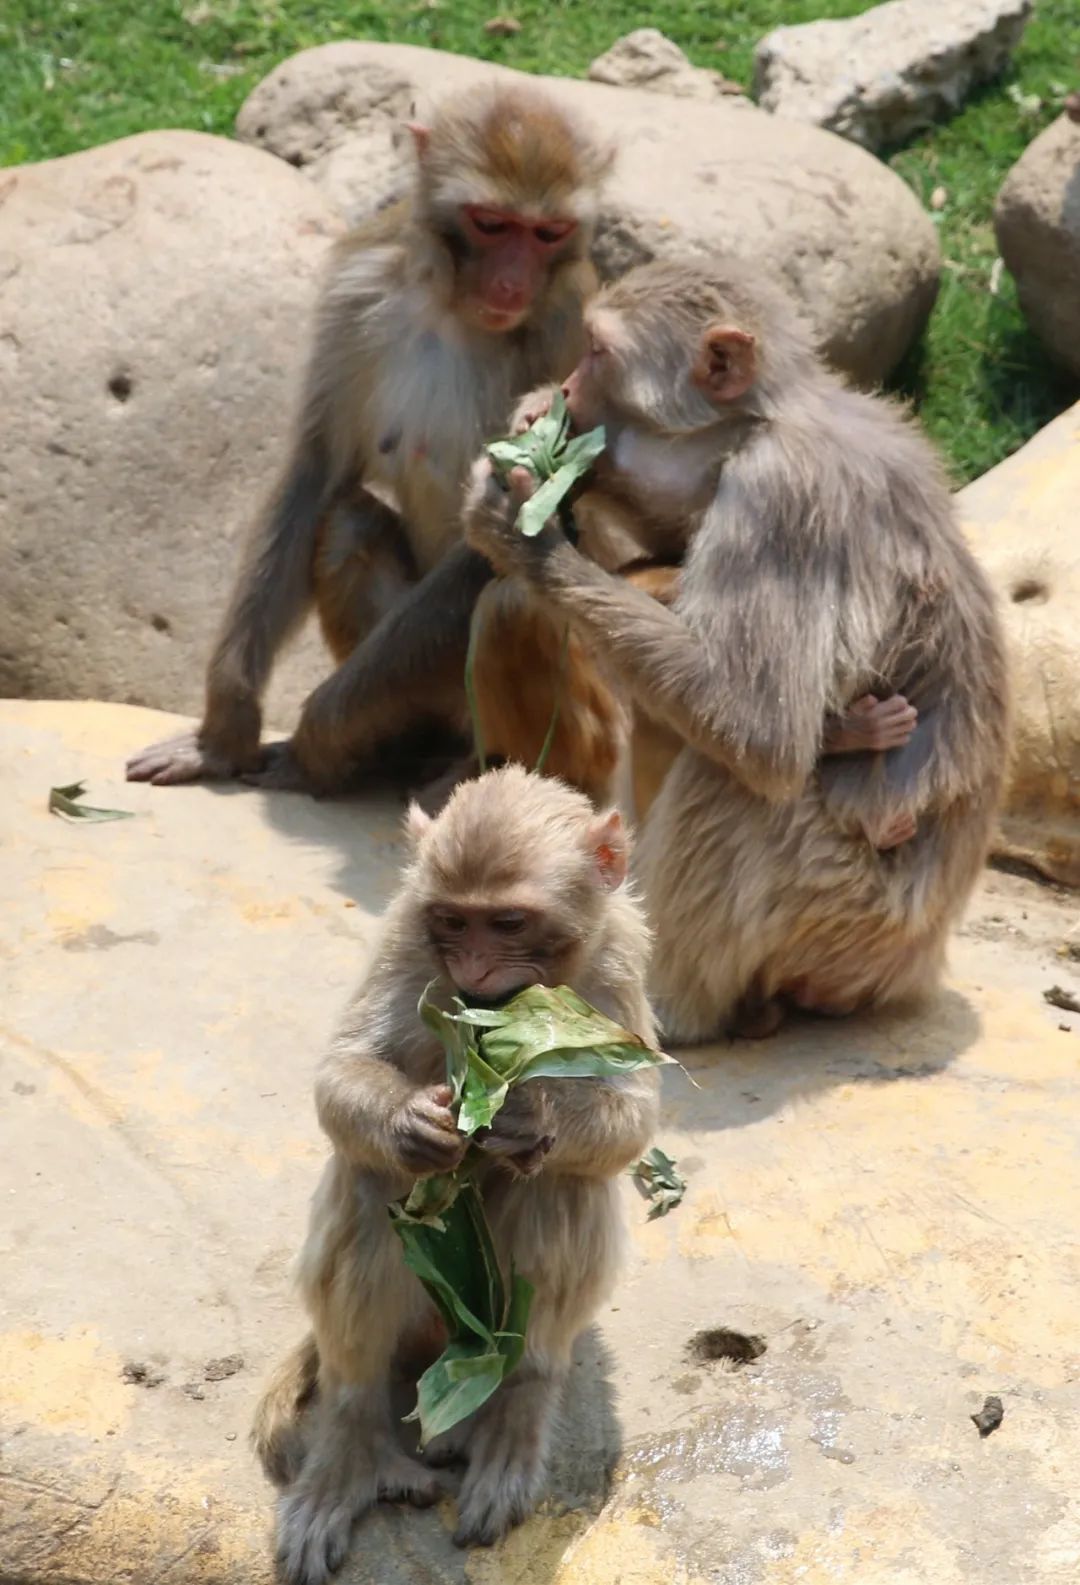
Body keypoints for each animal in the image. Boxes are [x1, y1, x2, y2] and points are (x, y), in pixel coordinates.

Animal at [122, 82, 612, 798]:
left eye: (547, 233)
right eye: (491, 223)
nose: (511, 284)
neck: (455, 307)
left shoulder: (571, 329)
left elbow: (504, 538)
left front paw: (314, 738)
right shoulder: (360, 286)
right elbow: (316, 472)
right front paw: (223, 734)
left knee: (515, 607)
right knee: (347, 523)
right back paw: (393, 753)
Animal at [252, 760, 656, 1578]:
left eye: (508, 924)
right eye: (452, 921)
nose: (471, 965)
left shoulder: (620, 952)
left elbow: (633, 1118)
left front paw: (523, 1114)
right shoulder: (405, 930)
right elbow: (342, 1073)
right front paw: (412, 1125)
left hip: (487, 1320)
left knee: (561, 1185)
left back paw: (515, 1409)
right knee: (371, 1180)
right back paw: (353, 1444)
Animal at [463, 255, 1008, 1046]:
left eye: (595, 351)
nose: (564, 388)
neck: (760, 424)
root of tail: (917, 964)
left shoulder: (778, 497)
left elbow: (760, 733)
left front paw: (521, 531)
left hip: (848, 918)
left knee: (733, 784)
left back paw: (664, 1004)